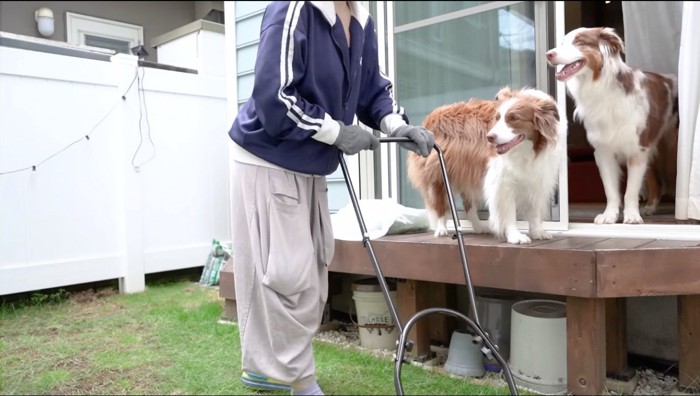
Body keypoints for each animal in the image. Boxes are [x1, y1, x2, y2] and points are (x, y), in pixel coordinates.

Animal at [408, 86, 568, 244]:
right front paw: (515, 236)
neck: (529, 149)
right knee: (440, 202)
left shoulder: (537, 176)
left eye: (514, 118)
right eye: (497, 118)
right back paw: (441, 229)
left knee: (468, 205)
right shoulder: (502, 180)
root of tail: (431, 116)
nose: (489, 137)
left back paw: (479, 227)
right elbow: (508, 210)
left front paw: (537, 232)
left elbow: (534, 210)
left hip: (467, 172)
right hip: (439, 173)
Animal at [548, 27, 680, 226]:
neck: (602, 88)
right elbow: (610, 190)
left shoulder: (637, 149)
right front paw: (609, 215)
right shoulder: (604, 151)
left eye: (579, 42)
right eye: (562, 43)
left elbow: (631, 190)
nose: (548, 54)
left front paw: (632, 216)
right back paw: (650, 206)